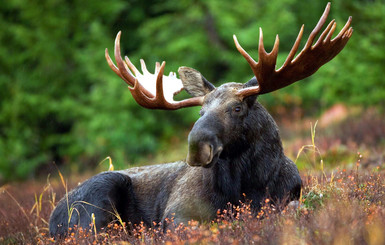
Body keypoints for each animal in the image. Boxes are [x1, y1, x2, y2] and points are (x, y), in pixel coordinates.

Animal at [48, 2, 352, 237]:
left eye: (237, 108)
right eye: (200, 112)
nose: (197, 147)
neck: (247, 185)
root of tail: (52, 220)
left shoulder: (289, 197)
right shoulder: (176, 214)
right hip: (97, 200)